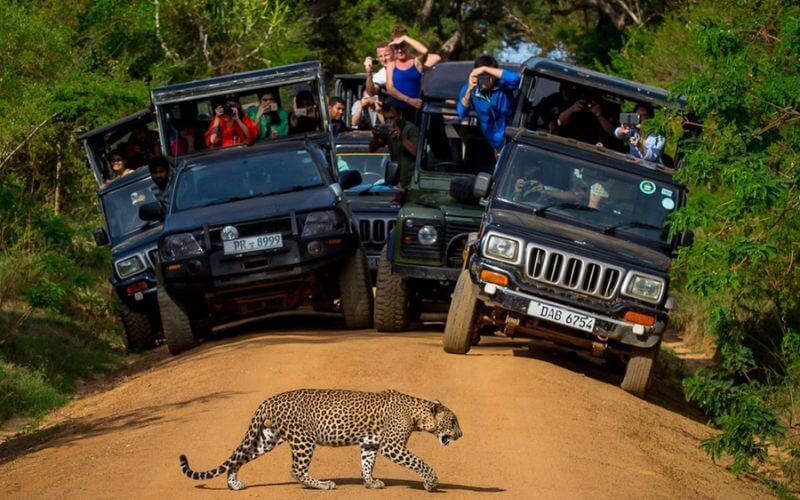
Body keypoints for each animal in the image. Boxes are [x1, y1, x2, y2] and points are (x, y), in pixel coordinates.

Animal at [177, 386, 460, 492]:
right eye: (453, 421)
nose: (461, 434)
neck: (417, 414)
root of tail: (270, 399)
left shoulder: (369, 443)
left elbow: (367, 463)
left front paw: (370, 482)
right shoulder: (393, 446)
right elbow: (419, 462)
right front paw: (431, 482)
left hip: (268, 438)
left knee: (240, 457)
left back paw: (234, 484)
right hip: (303, 440)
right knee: (296, 470)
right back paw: (323, 485)